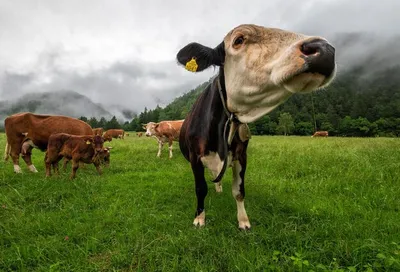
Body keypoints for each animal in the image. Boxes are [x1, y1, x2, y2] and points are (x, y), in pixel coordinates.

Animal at [177, 23, 336, 230]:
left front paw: (243, 221)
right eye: (238, 40)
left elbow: (238, 190)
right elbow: (200, 188)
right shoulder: (195, 157)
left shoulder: (241, 155)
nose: (324, 49)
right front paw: (199, 218)